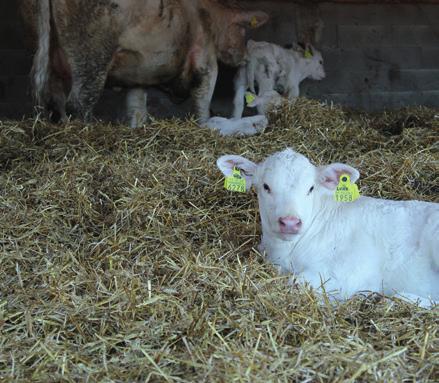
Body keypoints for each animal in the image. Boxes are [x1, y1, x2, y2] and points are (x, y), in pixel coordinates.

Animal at [19, 0, 268, 128]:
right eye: (242, 30)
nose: (245, 56)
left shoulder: (137, 73)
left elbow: (137, 106)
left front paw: (137, 128)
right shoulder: (204, 58)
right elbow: (202, 103)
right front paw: (205, 126)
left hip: (42, 44)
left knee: (55, 99)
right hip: (91, 52)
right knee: (80, 102)